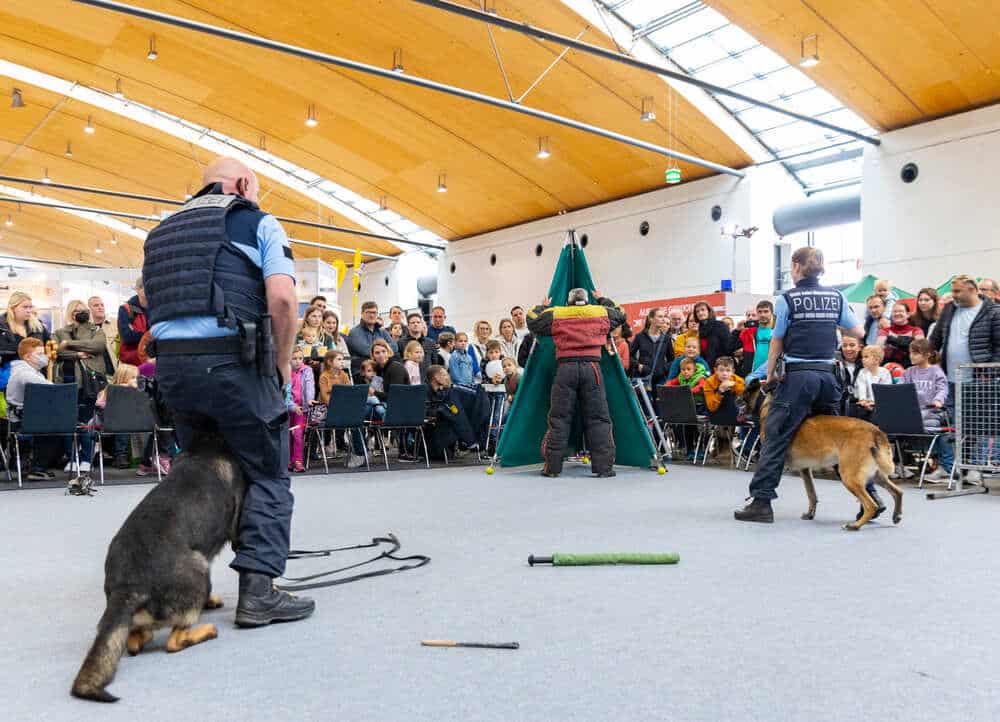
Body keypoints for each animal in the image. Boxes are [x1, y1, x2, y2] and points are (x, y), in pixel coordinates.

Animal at [71, 436, 247, 700]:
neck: (206, 443)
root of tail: (129, 586)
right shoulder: (237, 528)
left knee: (135, 641)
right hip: (200, 569)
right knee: (173, 642)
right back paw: (206, 630)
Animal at [748, 382, 904, 528]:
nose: (740, 405)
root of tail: (876, 431)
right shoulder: (805, 470)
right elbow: (811, 494)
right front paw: (810, 514)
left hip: (849, 475)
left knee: (871, 505)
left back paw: (855, 526)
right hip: (875, 474)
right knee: (897, 492)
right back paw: (895, 515)